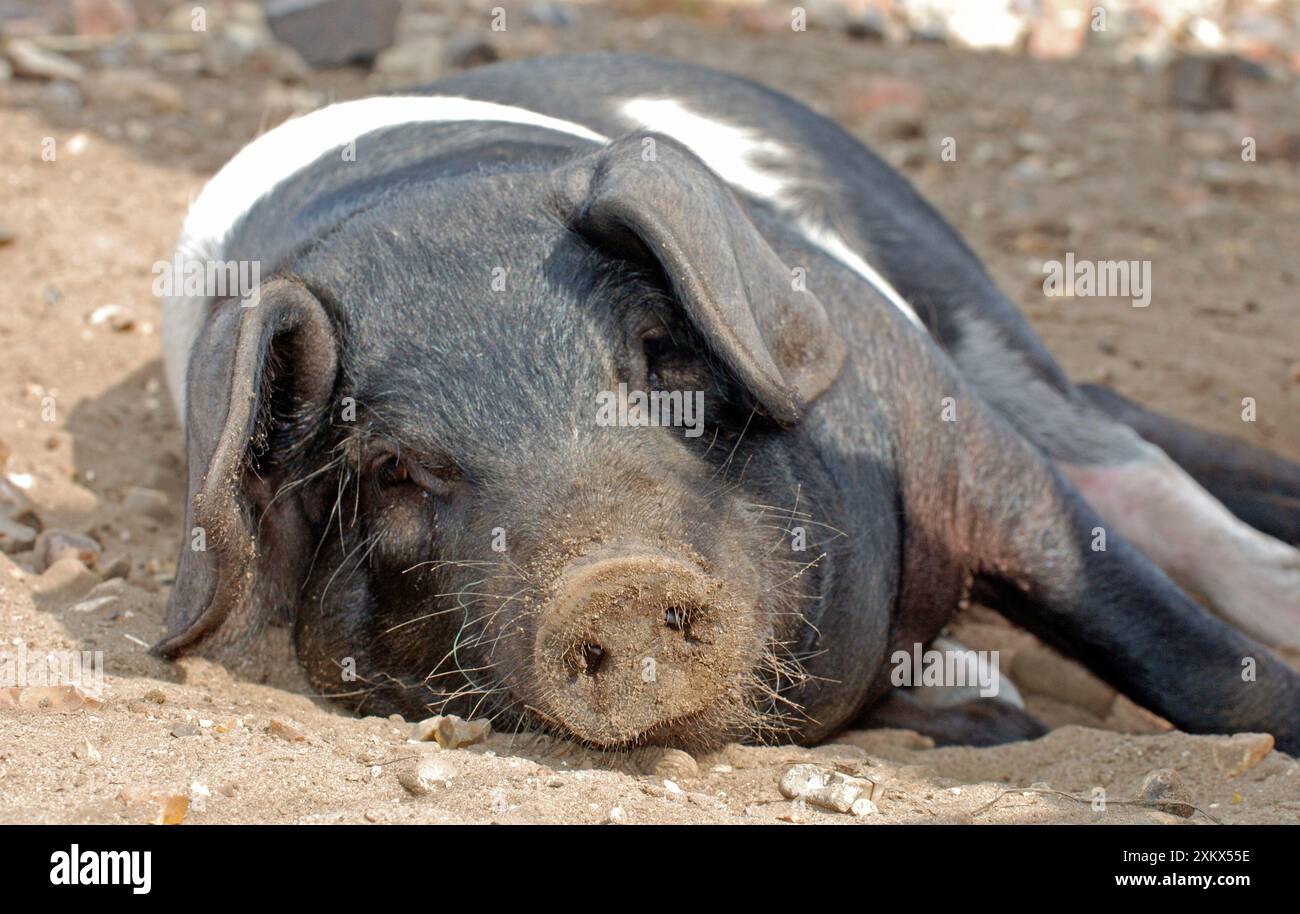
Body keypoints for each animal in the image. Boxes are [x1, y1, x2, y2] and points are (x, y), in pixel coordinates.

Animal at [154, 52, 1300, 748]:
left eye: (660, 358)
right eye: (393, 468)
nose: (615, 579)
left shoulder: (943, 419)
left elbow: (1180, 650)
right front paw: (990, 708)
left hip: (956, 289)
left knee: (1119, 449)